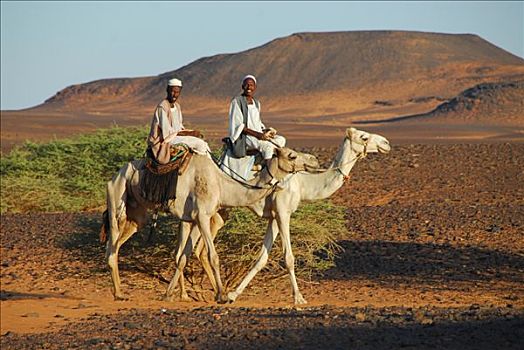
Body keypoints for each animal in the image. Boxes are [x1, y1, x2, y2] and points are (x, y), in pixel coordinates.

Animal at [100, 146, 318, 302]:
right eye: (291, 156)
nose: (314, 160)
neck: (222, 185)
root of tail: (114, 175)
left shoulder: (194, 218)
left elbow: (183, 257)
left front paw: (169, 294)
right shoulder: (203, 216)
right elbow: (213, 256)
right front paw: (221, 295)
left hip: (137, 216)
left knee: (117, 243)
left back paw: (121, 291)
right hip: (117, 199)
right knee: (111, 245)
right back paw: (118, 293)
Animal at [176, 127, 388, 304]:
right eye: (364, 137)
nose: (386, 143)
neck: (303, 184)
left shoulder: (274, 217)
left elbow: (261, 259)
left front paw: (234, 294)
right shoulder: (283, 212)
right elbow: (288, 257)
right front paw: (299, 298)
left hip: (217, 212)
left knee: (193, 249)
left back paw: (199, 293)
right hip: (210, 207)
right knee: (194, 248)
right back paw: (195, 294)